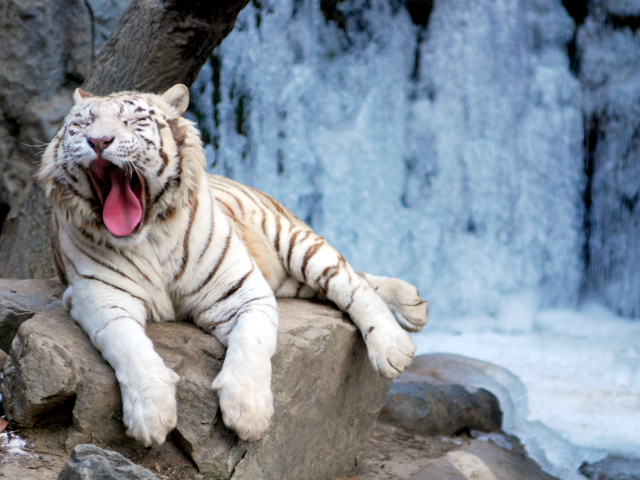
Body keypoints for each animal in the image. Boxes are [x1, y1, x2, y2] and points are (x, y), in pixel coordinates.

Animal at [37, 84, 429, 446]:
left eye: (132, 121)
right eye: (82, 124)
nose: (98, 140)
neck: (148, 238)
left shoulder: (243, 290)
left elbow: (253, 342)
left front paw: (248, 412)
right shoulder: (101, 298)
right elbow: (129, 347)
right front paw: (151, 415)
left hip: (293, 241)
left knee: (350, 281)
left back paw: (395, 343)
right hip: (289, 280)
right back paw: (413, 303)